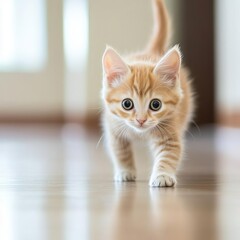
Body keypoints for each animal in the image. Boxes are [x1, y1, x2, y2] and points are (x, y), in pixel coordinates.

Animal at [101, 0, 193, 187]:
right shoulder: (113, 127)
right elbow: (120, 151)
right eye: (127, 104)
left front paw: (162, 174)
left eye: (155, 104)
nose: (141, 120)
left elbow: (169, 154)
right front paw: (125, 171)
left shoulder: (170, 128)